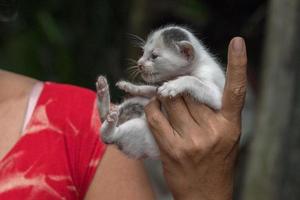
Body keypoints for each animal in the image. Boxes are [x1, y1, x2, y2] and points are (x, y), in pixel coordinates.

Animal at [96, 25, 225, 159]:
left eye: (154, 56)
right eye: (143, 52)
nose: (139, 64)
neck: (197, 64)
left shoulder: (215, 93)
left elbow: (194, 80)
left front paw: (173, 86)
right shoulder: (156, 90)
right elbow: (149, 89)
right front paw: (130, 86)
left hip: (141, 133)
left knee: (109, 137)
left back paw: (110, 119)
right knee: (106, 117)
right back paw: (103, 91)